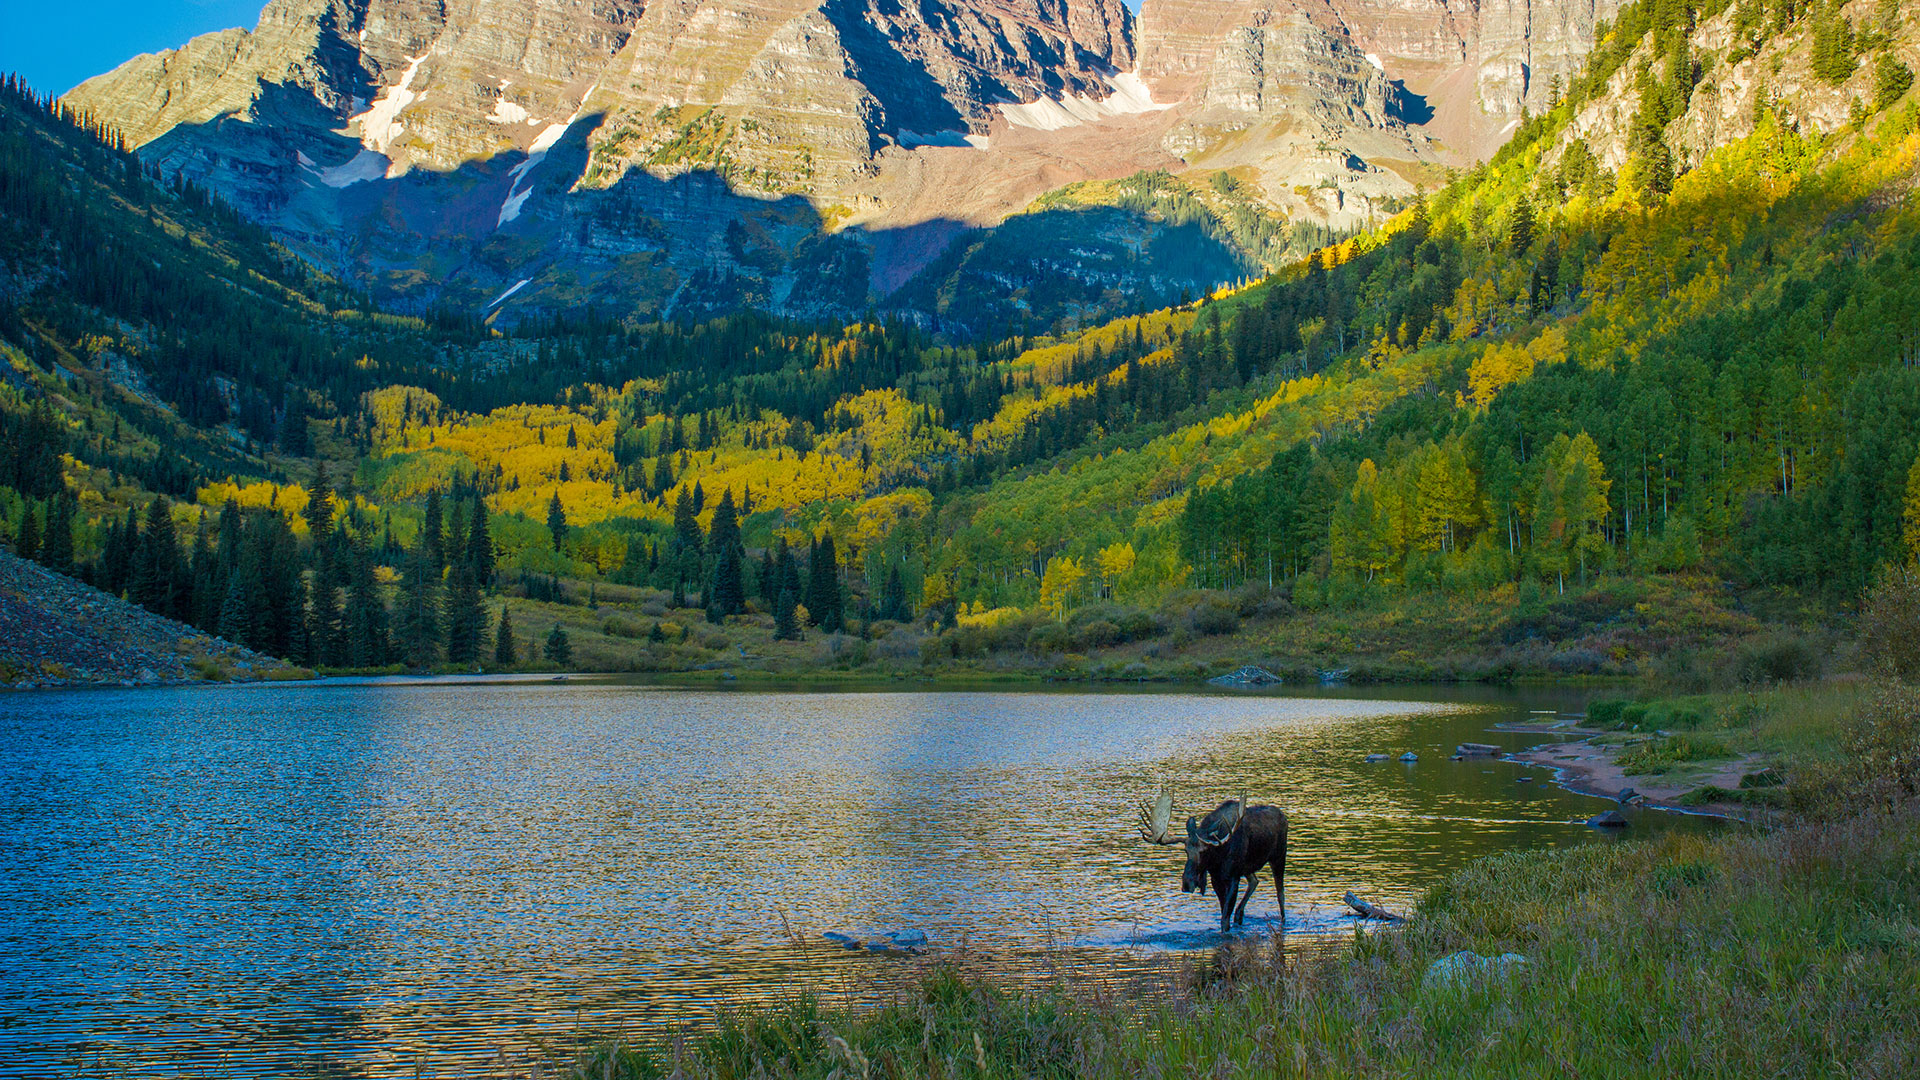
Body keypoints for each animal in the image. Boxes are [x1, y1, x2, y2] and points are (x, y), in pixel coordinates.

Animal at [1139, 786, 1287, 934]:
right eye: (1186, 850)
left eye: (1204, 851)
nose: (1187, 883)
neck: (1218, 857)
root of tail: (1283, 815)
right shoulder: (1216, 878)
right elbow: (1223, 912)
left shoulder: (1234, 877)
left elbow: (1225, 917)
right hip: (1247, 868)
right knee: (1254, 881)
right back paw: (1239, 915)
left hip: (1278, 857)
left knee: (1280, 894)